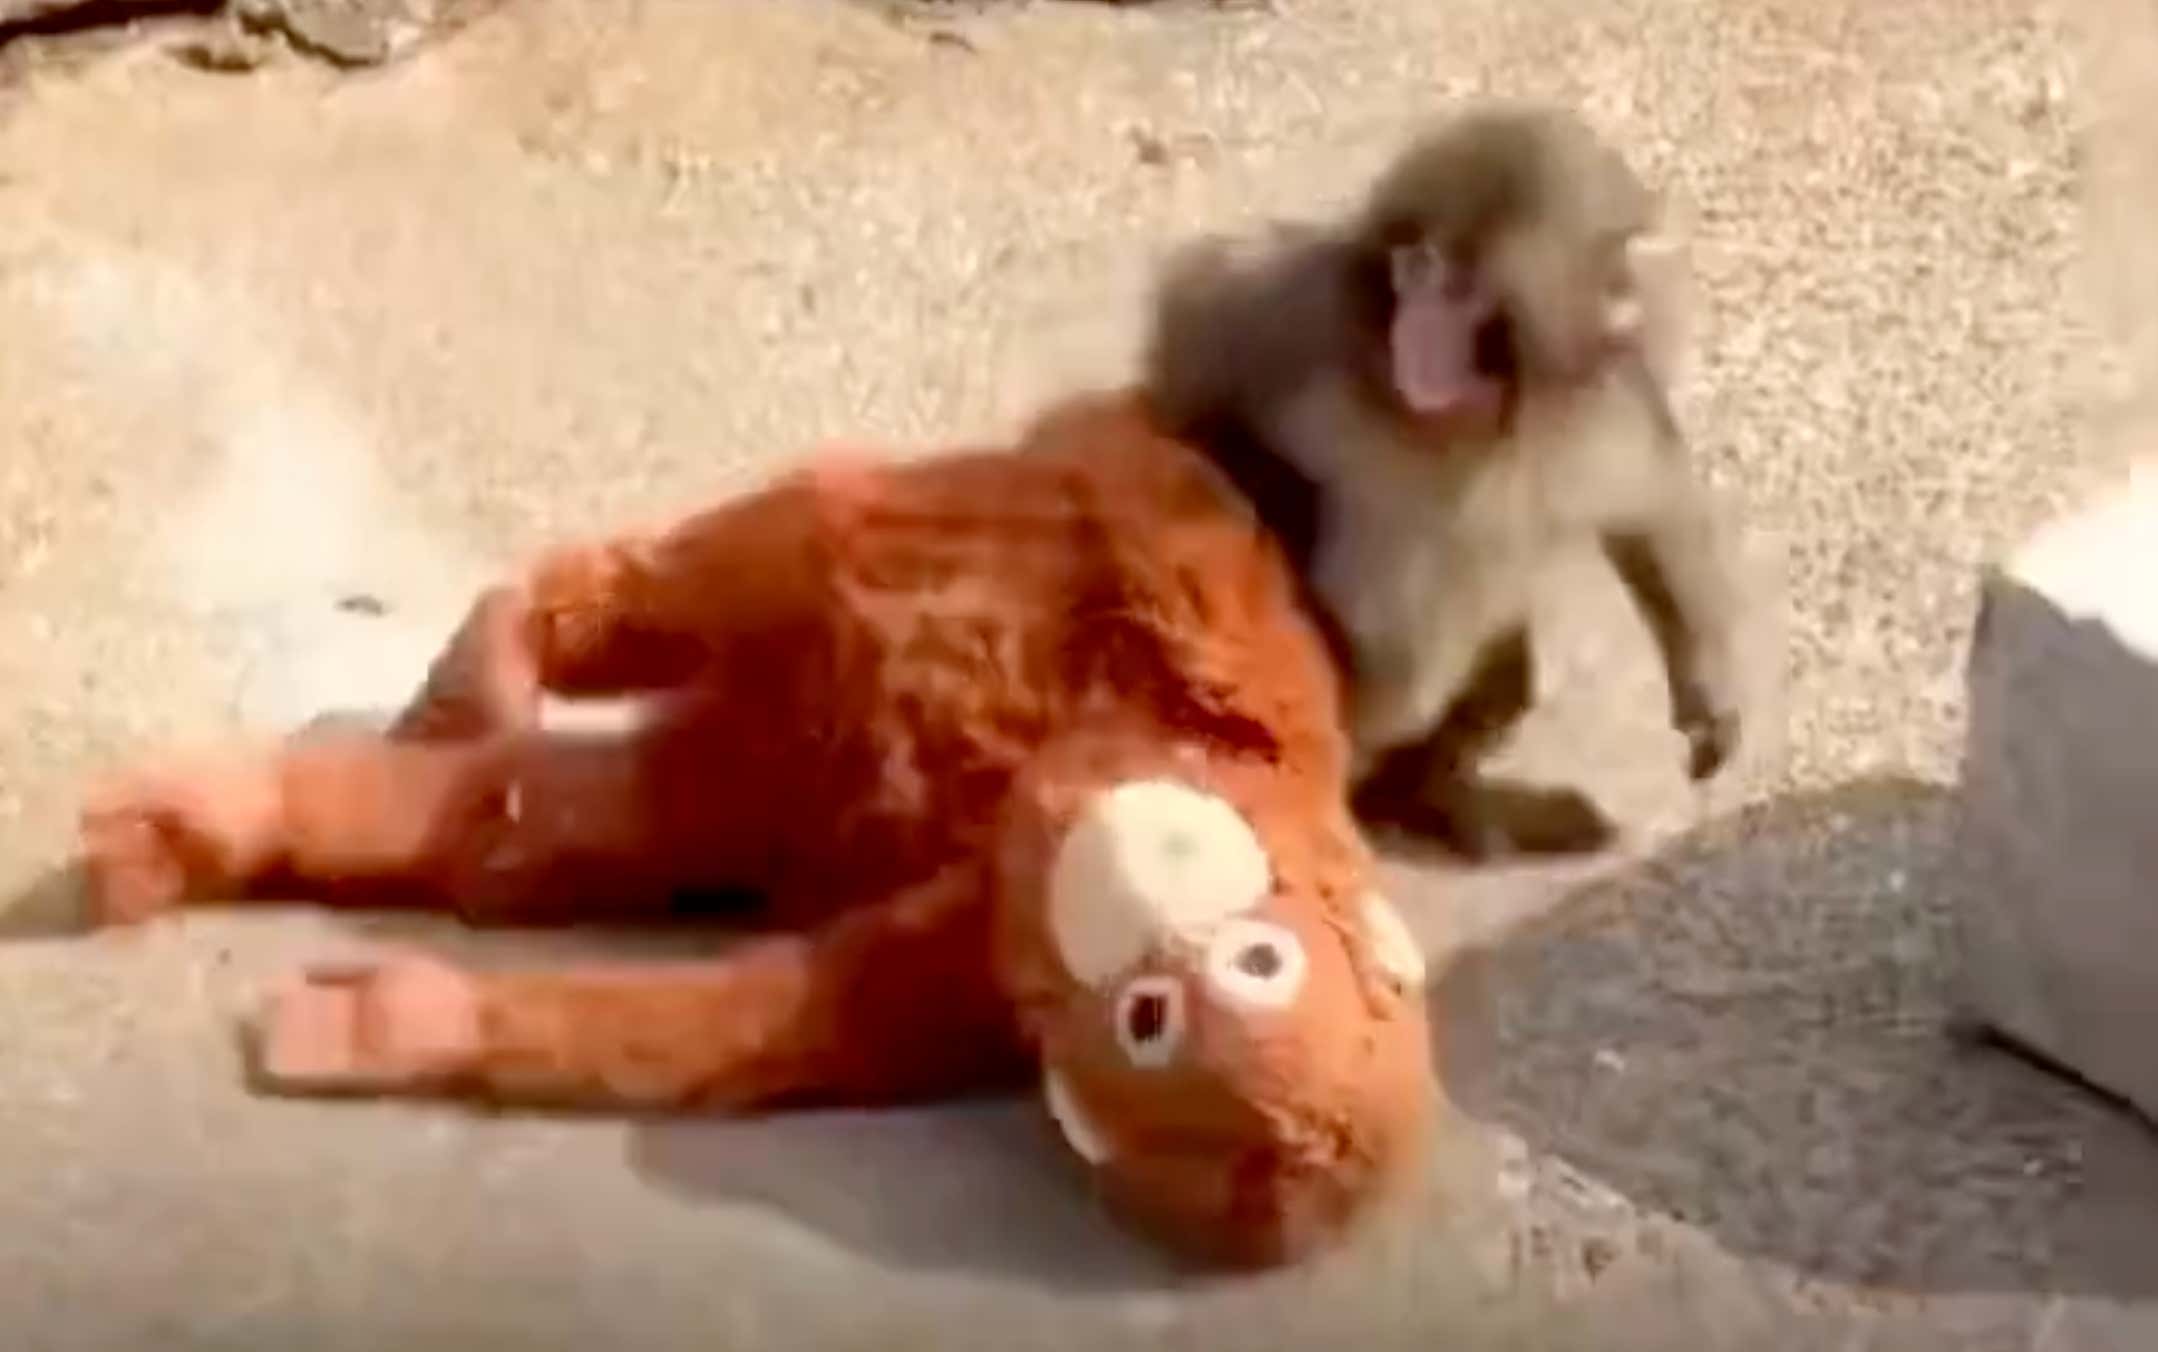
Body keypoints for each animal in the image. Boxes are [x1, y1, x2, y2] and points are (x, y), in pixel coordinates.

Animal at [1142, 102, 1745, 860]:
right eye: (1415, 268)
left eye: (1459, 290)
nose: (1416, 331)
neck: (1464, 423)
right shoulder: (1293, 325)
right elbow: (1191, 372)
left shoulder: (1600, 404)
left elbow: (1653, 504)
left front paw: (1708, 695)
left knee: (1497, 663)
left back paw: (1438, 799)